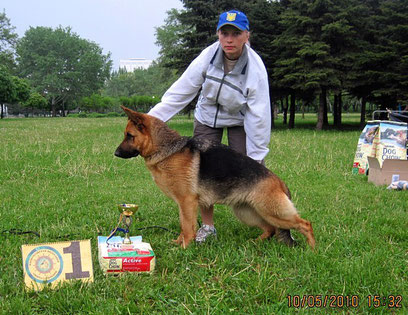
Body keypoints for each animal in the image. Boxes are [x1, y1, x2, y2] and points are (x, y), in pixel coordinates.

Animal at [115, 107, 316, 251]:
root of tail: (278, 181)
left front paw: (185, 248)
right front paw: (179, 243)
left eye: (129, 136)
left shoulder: (187, 202)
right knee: (271, 229)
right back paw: (255, 243)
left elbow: (187, 227)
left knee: (305, 224)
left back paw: (312, 250)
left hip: (272, 212)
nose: (115, 153)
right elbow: (183, 225)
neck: (167, 149)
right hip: (247, 212)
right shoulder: (183, 204)